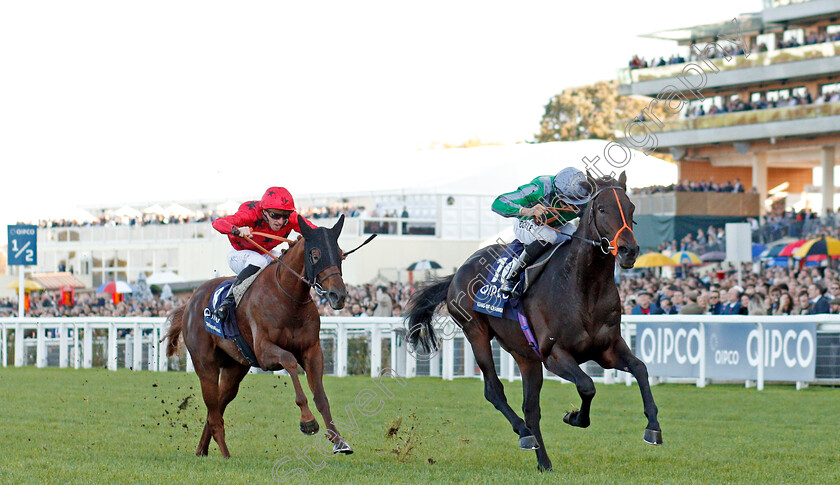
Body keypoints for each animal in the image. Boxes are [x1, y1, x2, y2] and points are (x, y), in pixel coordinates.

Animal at [164, 216, 352, 458]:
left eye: (339, 254)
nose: (339, 296)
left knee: (216, 407)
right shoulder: (264, 352)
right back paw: (225, 455)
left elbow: (321, 397)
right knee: (214, 411)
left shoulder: (312, 351)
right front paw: (308, 421)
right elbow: (290, 361)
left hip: (234, 369)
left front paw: (339, 441)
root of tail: (190, 300)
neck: (288, 299)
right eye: (315, 254)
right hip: (205, 366)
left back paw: (202, 451)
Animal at [404, 172, 660, 470]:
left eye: (631, 208)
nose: (630, 250)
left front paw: (653, 427)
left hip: (525, 355)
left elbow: (641, 369)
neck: (584, 287)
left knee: (531, 408)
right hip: (476, 333)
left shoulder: (607, 349)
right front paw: (574, 417)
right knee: (494, 390)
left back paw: (543, 460)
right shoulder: (554, 354)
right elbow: (587, 385)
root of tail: (458, 271)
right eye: (601, 209)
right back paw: (524, 434)